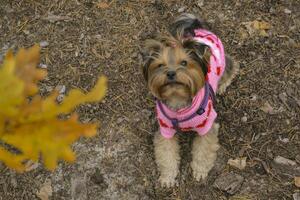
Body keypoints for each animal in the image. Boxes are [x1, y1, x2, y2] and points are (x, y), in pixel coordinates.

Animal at [142, 13, 239, 187]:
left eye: (184, 63)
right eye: (160, 65)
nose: (171, 73)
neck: (178, 98)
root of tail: (197, 26)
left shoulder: (207, 126)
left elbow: (204, 150)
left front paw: (200, 171)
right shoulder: (165, 130)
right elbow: (166, 154)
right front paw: (168, 177)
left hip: (223, 61)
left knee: (232, 66)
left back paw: (222, 85)